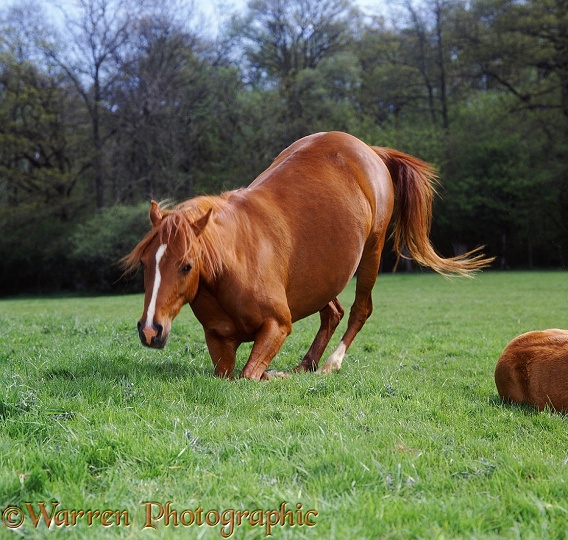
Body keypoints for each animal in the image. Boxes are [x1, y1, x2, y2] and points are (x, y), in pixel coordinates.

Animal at [123, 131, 492, 380]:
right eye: (144, 264)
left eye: (186, 266)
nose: (150, 330)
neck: (233, 261)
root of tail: (370, 150)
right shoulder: (219, 341)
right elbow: (232, 374)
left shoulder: (277, 326)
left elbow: (249, 375)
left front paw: (274, 375)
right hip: (323, 276)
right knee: (333, 312)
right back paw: (306, 364)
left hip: (371, 254)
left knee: (359, 310)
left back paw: (330, 364)